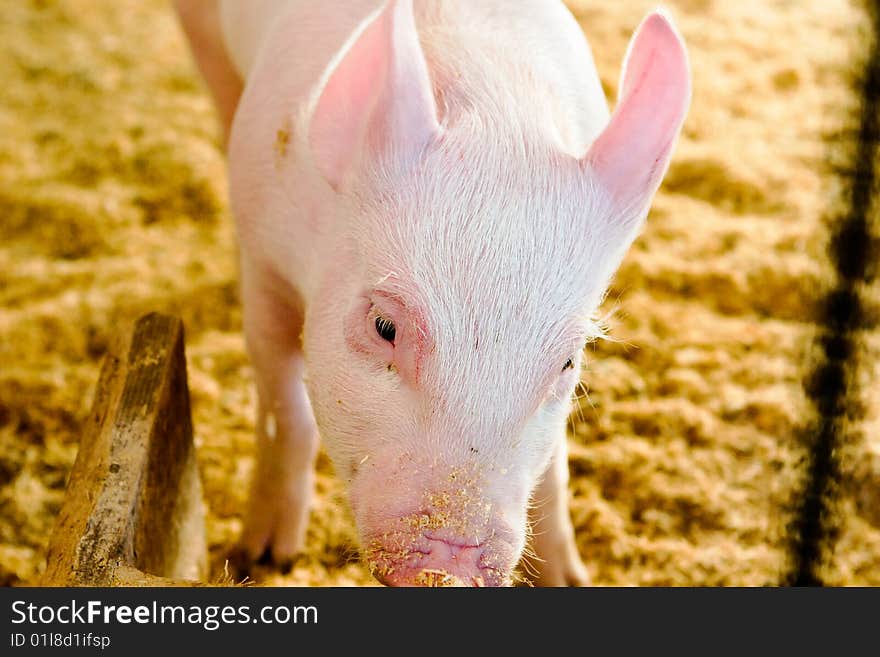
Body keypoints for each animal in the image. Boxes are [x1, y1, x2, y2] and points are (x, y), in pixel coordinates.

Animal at [175, 0, 692, 584]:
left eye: (567, 362)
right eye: (384, 327)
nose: (454, 559)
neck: (494, 117)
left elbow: (554, 473)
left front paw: (570, 578)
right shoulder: (265, 261)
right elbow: (285, 406)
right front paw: (263, 559)